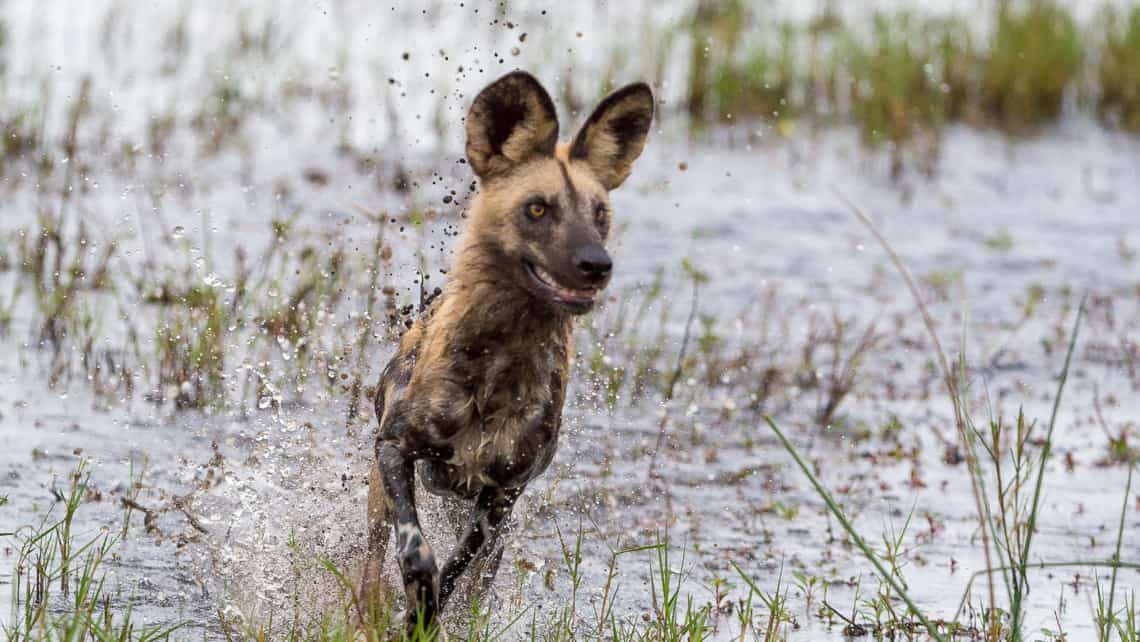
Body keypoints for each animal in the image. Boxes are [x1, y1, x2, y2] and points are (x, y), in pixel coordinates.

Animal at [362, 70, 652, 629]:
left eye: (600, 214)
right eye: (537, 208)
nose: (596, 265)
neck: (497, 363)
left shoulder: (501, 498)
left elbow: (456, 569)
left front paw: (429, 616)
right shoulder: (394, 449)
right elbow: (417, 552)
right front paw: (418, 607)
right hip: (378, 501)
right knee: (368, 560)